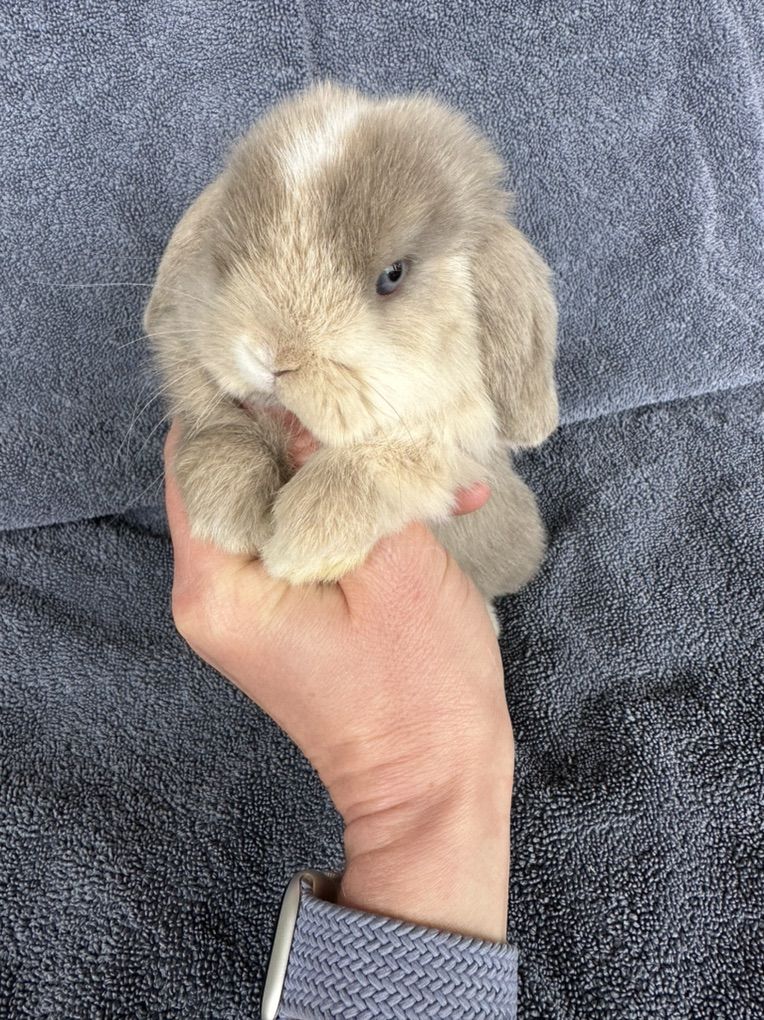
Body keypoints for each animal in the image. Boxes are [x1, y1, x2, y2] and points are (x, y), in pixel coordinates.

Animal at [144, 79, 558, 622]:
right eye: (229, 254)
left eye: (392, 275)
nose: (273, 356)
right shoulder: (197, 380)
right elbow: (222, 425)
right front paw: (228, 514)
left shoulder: (457, 448)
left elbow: (386, 460)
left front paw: (302, 543)